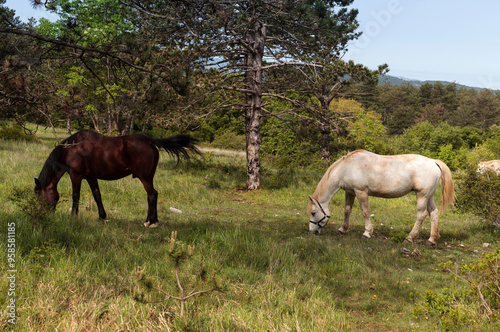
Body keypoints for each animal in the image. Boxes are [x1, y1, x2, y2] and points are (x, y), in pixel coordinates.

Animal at [34, 130, 199, 228]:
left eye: (38, 196)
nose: (41, 215)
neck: (73, 148)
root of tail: (150, 141)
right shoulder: (91, 177)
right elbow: (97, 195)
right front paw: (102, 217)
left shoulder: (76, 175)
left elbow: (76, 196)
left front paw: (73, 217)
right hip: (149, 177)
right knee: (151, 195)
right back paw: (150, 219)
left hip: (144, 177)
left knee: (152, 194)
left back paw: (151, 222)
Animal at [306, 150, 456, 244]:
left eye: (313, 213)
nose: (312, 231)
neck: (348, 167)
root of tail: (433, 162)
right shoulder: (350, 192)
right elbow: (347, 211)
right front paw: (342, 230)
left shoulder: (361, 192)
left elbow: (365, 212)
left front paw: (367, 233)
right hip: (429, 196)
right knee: (433, 213)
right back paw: (431, 240)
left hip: (422, 195)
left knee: (421, 215)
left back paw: (410, 238)